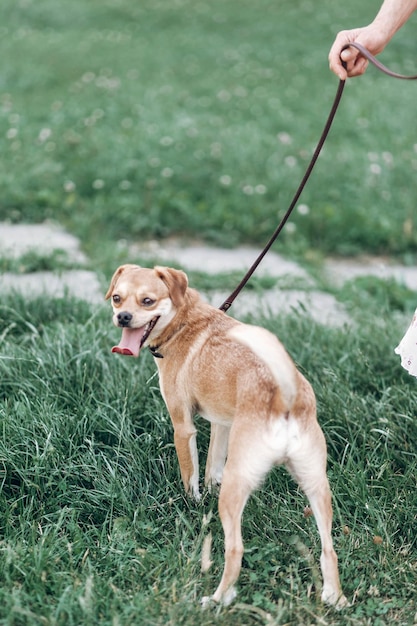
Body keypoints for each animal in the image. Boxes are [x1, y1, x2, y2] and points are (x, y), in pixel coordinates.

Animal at [105, 262, 346, 604]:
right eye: (117, 298)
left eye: (147, 302)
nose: (123, 317)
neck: (183, 321)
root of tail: (285, 396)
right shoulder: (222, 424)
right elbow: (210, 467)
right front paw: (207, 489)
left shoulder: (183, 427)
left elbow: (191, 474)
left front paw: (193, 504)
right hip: (316, 485)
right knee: (329, 549)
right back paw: (333, 596)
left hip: (236, 491)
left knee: (235, 550)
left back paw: (218, 599)